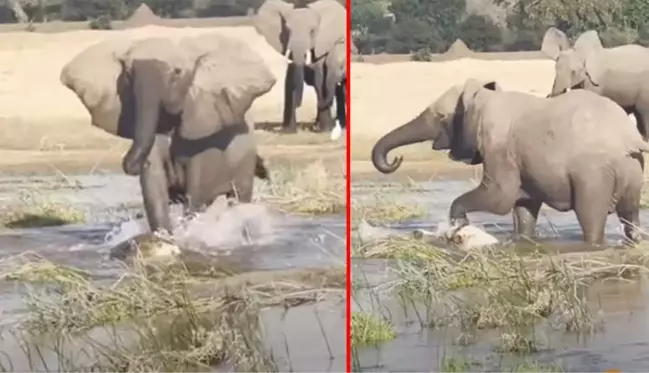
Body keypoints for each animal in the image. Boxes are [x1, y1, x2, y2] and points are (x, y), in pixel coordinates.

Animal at [62, 34, 280, 232]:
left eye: (177, 72)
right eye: (128, 74)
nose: (130, 164)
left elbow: (198, 191)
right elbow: (154, 186)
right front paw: (165, 235)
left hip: (244, 160)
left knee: (240, 197)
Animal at [253, 0, 346, 134]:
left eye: (313, 31)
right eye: (287, 30)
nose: (298, 104)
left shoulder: (321, 46)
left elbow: (319, 79)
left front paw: (325, 130)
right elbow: (290, 79)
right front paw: (288, 132)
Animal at [370, 79, 648, 244]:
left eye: (440, 116)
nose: (397, 158)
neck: (484, 98)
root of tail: (629, 137)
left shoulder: (498, 147)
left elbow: (499, 197)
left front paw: (459, 224)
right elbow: (523, 206)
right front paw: (522, 243)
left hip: (594, 174)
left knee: (590, 218)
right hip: (631, 169)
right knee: (630, 215)